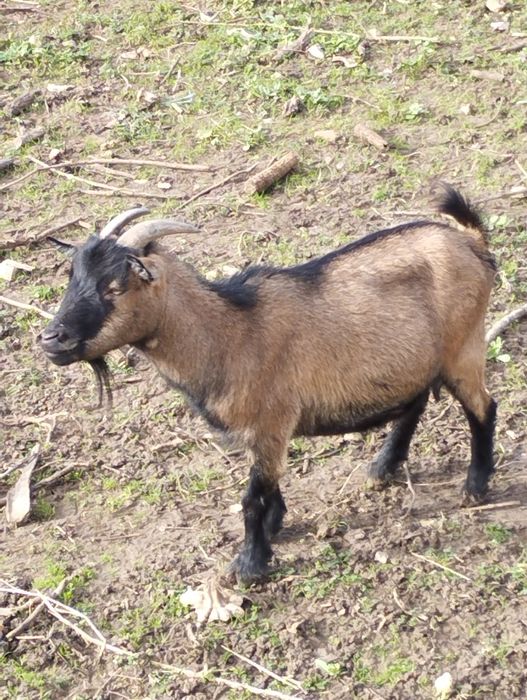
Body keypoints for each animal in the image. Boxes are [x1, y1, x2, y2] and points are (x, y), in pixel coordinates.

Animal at [40, 185, 497, 582]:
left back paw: (475, 488)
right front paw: (276, 525)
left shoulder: (271, 423)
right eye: (72, 280)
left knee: (483, 408)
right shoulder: (261, 435)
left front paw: (250, 565)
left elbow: (251, 499)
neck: (230, 334)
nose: (51, 339)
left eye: (116, 287)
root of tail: (472, 244)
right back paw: (383, 466)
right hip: (417, 360)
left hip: (463, 348)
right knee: (417, 399)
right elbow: (268, 487)